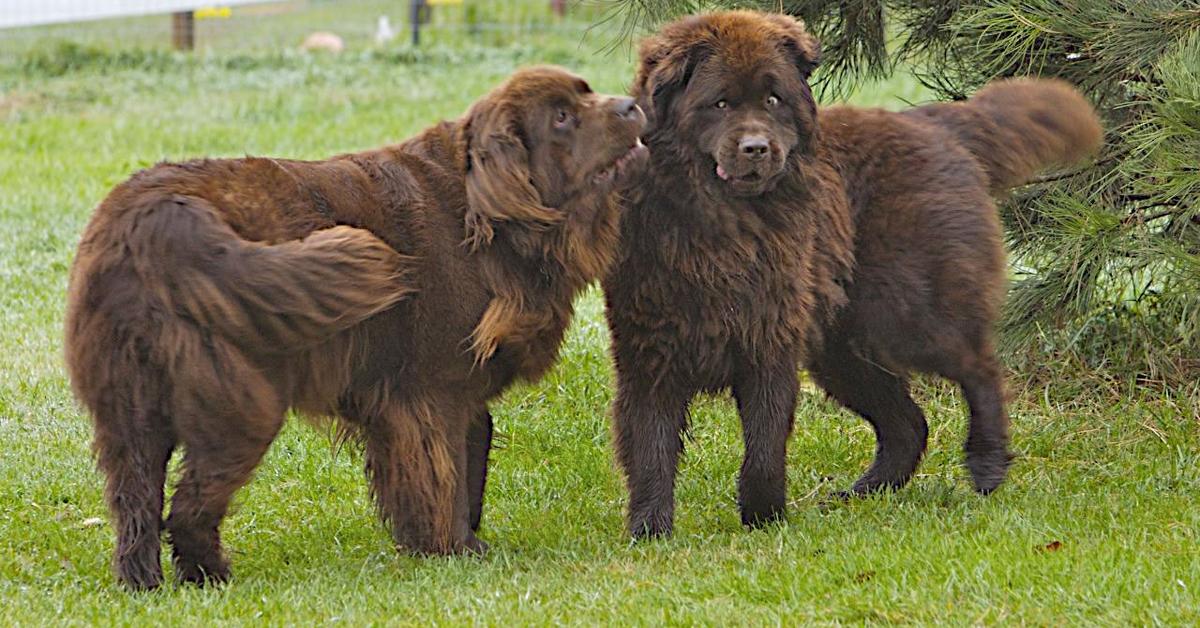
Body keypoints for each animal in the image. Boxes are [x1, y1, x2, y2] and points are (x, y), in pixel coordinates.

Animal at [65, 66, 648, 593]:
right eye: (562, 117)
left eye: (587, 93)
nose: (632, 106)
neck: (485, 217)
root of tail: (158, 217)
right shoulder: (431, 393)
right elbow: (447, 474)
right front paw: (454, 550)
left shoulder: (446, 396)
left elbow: (471, 455)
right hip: (240, 404)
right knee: (189, 505)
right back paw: (210, 577)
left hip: (129, 409)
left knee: (136, 502)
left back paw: (144, 583)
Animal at [604, 9, 1099, 537]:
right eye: (719, 103)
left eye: (773, 99)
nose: (757, 148)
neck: (724, 227)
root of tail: (934, 122)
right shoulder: (650, 355)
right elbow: (651, 450)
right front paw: (649, 532)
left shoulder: (769, 344)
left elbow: (764, 446)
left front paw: (764, 519)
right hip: (843, 348)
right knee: (908, 423)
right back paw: (863, 493)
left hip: (908, 315)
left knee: (979, 367)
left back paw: (986, 464)